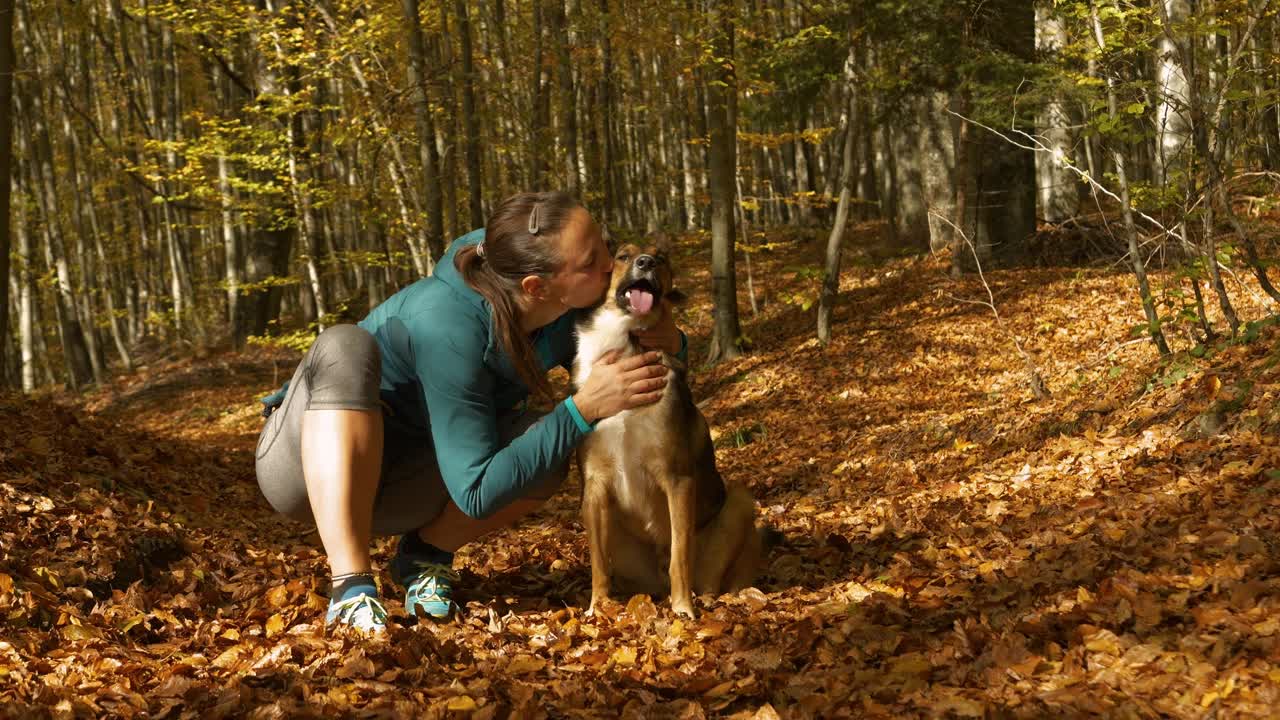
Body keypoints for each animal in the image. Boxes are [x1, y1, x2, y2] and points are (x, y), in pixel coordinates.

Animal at [573, 238, 768, 614]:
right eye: (623, 256)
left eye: (661, 259)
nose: (646, 263)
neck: (627, 345)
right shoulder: (595, 486)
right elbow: (598, 563)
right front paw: (597, 608)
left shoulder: (677, 479)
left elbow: (681, 554)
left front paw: (683, 609)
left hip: (738, 503)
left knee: (707, 577)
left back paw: (701, 599)